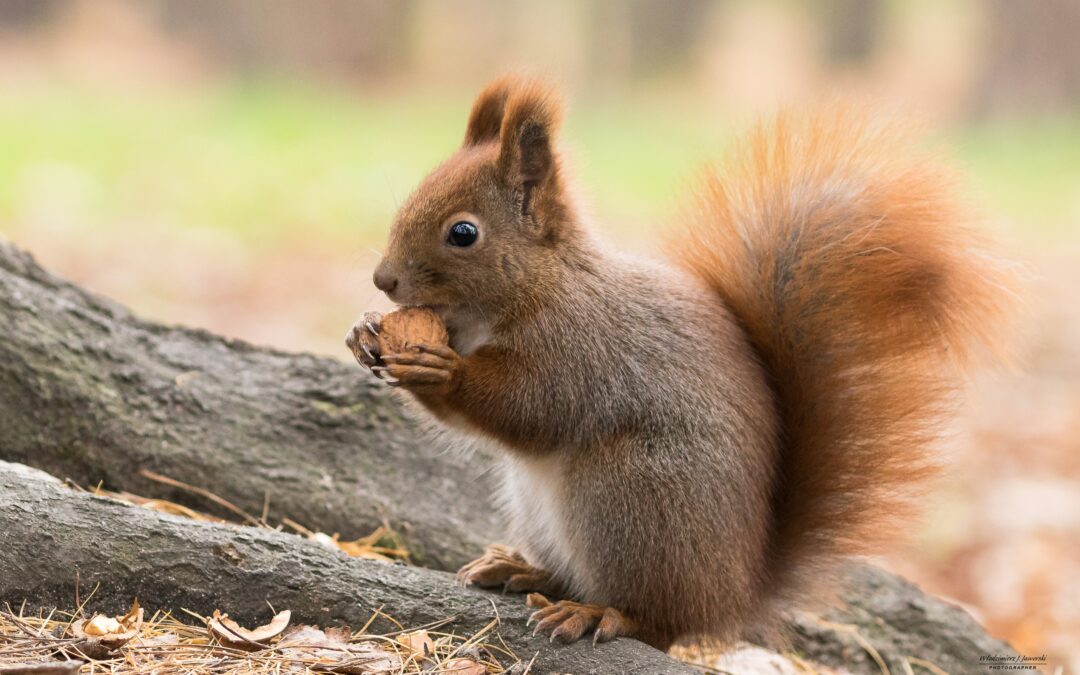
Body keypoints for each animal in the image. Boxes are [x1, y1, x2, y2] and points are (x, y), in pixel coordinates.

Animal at [346, 75, 1011, 651]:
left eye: (464, 233)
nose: (383, 280)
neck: (538, 286)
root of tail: (732, 598)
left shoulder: (580, 349)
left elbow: (532, 407)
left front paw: (441, 370)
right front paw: (362, 334)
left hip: (630, 498)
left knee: (659, 621)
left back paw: (598, 613)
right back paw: (526, 571)